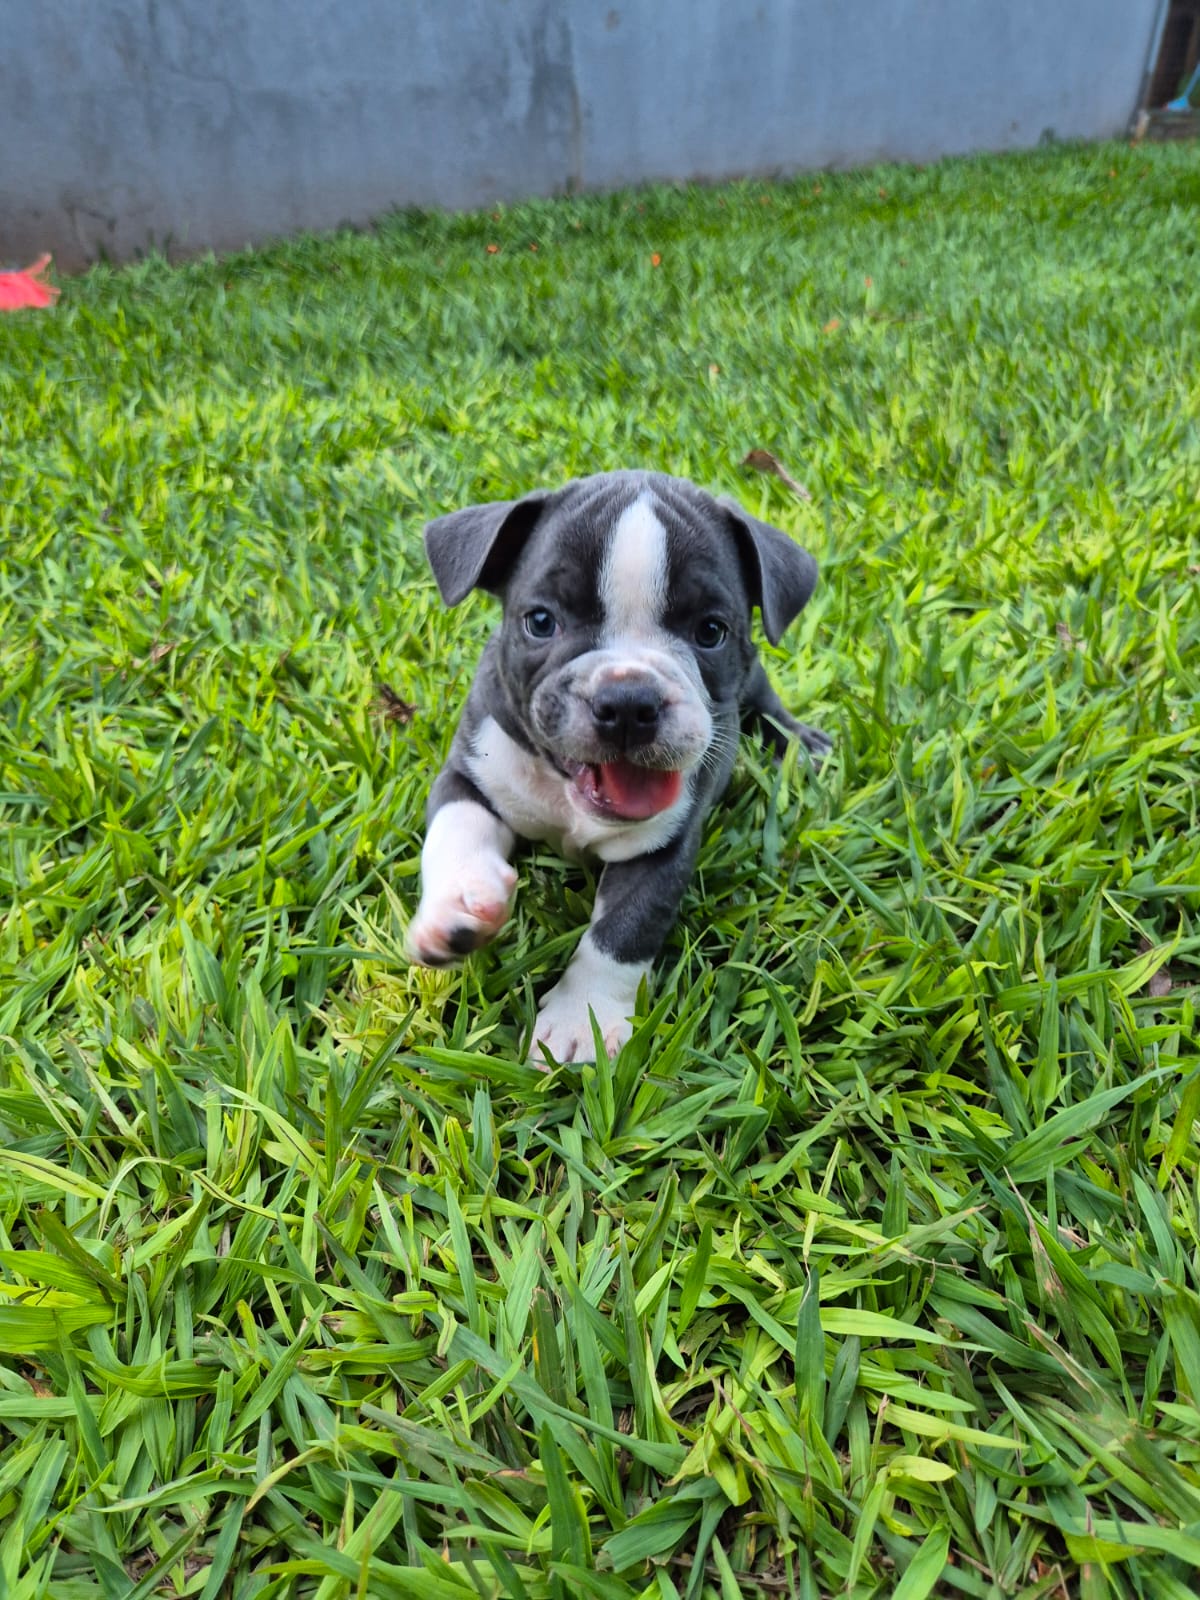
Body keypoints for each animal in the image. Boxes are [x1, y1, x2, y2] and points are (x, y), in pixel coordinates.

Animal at [409, 467, 832, 1068]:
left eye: (710, 632)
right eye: (541, 622)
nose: (629, 700)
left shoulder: (662, 847)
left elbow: (622, 932)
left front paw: (579, 1018)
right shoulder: (468, 776)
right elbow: (455, 833)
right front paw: (458, 907)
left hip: (754, 684)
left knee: (766, 702)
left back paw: (800, 744)